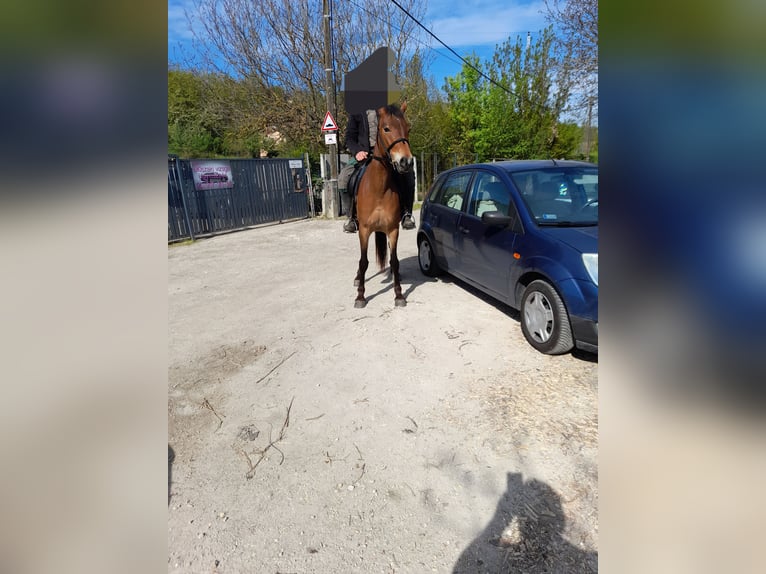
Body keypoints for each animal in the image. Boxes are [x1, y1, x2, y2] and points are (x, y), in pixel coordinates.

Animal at [353, 103, 414, 308]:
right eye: (386, 128)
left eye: (408, 128)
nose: (406, 162)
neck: (378, 188)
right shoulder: (364, 230)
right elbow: (363, 262)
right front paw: (360, 296)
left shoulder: (393, 229)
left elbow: (394, 261)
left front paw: (399, 294)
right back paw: (358, 278)